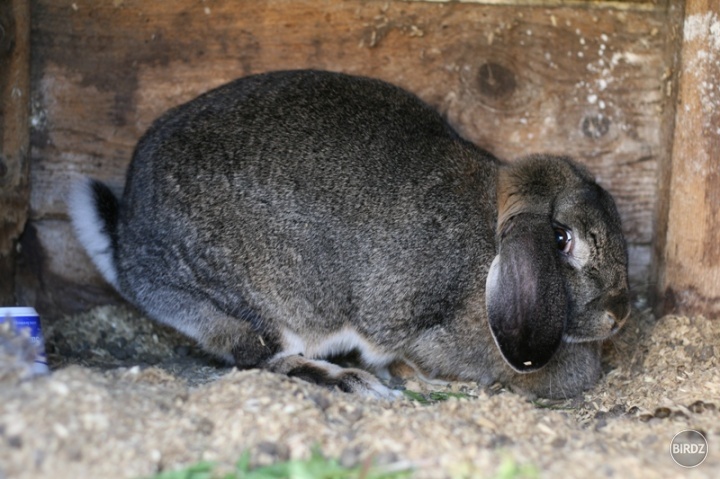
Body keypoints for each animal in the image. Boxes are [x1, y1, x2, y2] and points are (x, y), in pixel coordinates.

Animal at [69, 69, 632, 402]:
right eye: (561, 239)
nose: (620, 314)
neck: (488, 246)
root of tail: (130, 250)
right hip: (260, 300)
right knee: (260, 357)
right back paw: (347, 380)